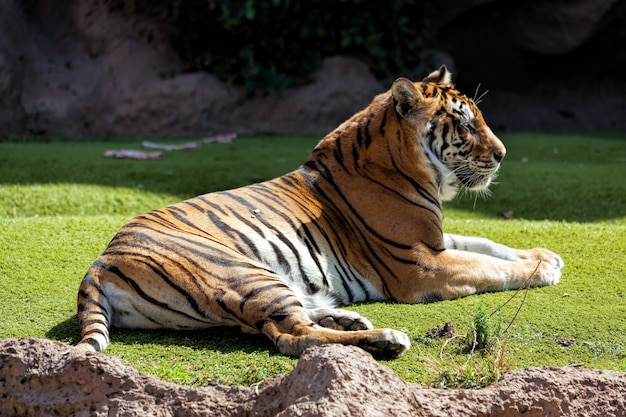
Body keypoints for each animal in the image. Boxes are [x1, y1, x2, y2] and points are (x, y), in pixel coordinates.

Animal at [75, 66, 564, 358]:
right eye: (463, 123)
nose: (502, 155)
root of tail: (100, 261)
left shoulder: (436, 240)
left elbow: (488, 244)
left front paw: (545, 255)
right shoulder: (421, 263)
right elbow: (487, 266)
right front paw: (543, 270)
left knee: (272, 325)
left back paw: (348, 317)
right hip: (242, 272)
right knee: (289, 336)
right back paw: (384, 339)